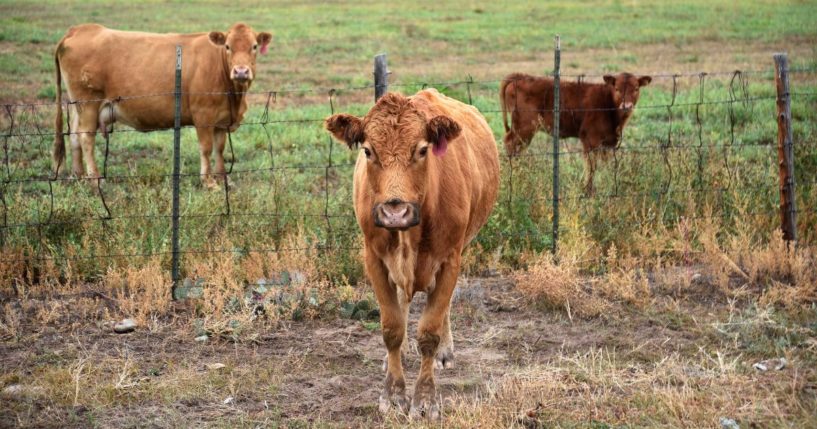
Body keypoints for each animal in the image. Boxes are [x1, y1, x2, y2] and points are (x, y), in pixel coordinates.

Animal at [52, 21, 272, 186]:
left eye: (254, 46)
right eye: (227, 46)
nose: (241, 71)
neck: (234, 95)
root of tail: (80, 29)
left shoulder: (222, 119)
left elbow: (219, 149)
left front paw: (224, 180)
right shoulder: (203, 115)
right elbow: (206, 148)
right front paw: (209, 182)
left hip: (77, 105)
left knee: (74, 135)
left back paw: (80, 175)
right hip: (89, 102)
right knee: (85, 137)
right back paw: (96, 179)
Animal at [326, 88, 498, 418]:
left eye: (422, 150)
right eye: (368, 151)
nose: (396, 212)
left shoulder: (450, 259)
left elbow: (430, 331)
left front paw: (425, 399)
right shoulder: (374, 259)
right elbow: (391, 327)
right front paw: (393, 395)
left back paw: (445, 351)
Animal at [498, 72, 652, 194]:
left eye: (636, 88)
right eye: (617, 88)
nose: (627, 106)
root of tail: (520, 76)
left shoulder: (608, 142)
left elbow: (606, 165)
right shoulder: (590, 139)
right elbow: (591, 166)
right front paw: (588, 190)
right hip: (524, 127)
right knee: (511, 144)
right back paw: (515, 175)